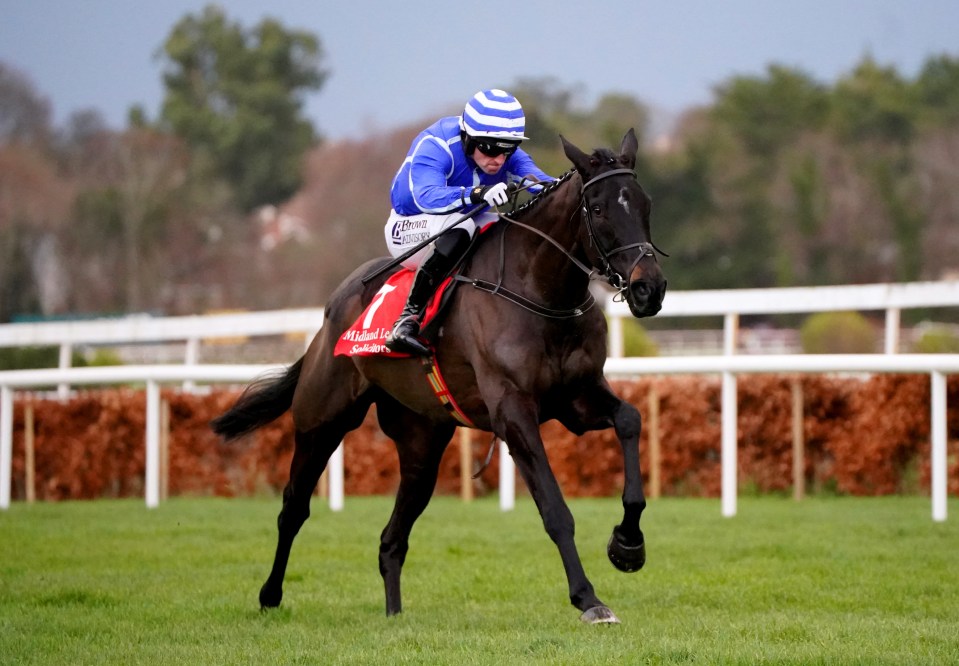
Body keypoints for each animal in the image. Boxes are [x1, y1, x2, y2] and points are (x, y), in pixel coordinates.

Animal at [212, 128, 668, 624]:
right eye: (599, 208)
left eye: (645, 204)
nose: (649, 288)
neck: (541, 293)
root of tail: (332, 310)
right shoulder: (514, 413)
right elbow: (555, 510)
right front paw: (589, 599)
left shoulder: (577, 398)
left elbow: (630, 421)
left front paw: (628, 545)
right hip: (322, 421)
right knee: (293, 508)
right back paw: (270, 595)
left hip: (422, 442)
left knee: (391, 540)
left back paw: (394, 615)